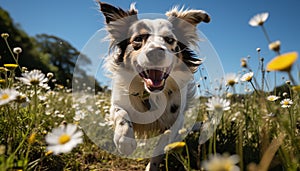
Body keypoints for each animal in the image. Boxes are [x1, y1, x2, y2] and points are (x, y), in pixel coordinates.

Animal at [97, 1, 210, 170]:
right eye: (138, 38)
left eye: (169, 39)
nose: (156, 52)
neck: (152, 94)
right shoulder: (117, 103)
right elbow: (121, 113)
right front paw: (124, 140)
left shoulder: (174, 123)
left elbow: (159, 151)